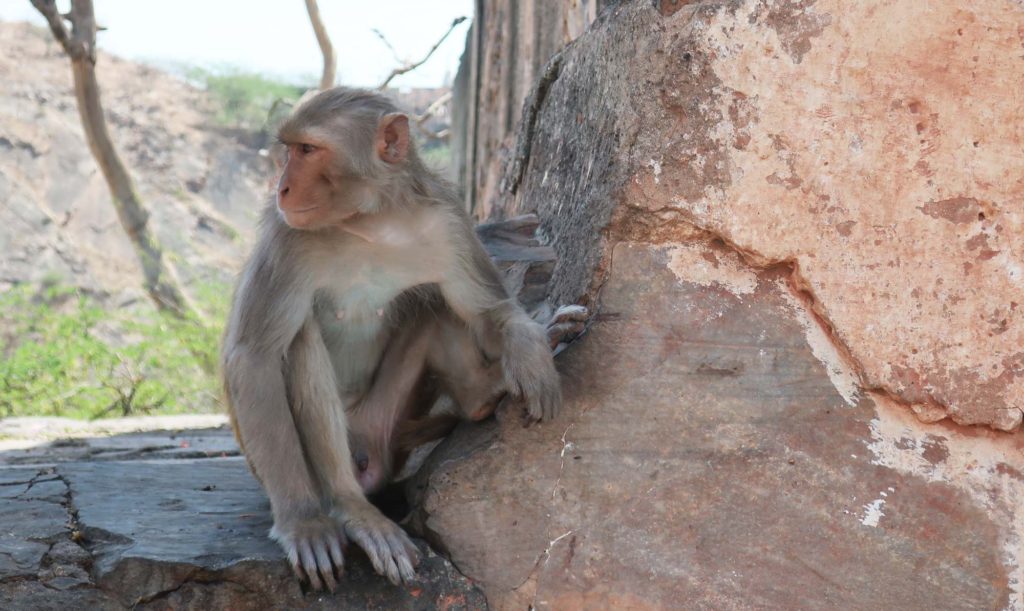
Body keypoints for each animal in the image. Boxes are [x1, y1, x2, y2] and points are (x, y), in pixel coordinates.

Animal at [221, 87, 586, 592]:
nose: (282, 189)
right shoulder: (284, 238)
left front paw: (529, 350)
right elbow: (254, 357)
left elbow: (484, 310)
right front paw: (302, 522)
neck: (370, 221)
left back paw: (482, 394)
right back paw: (349, 507)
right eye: (289, 150)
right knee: (297, 339)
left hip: (389, 418)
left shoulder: (447, 222)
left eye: (307, 150)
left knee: (434, 300)